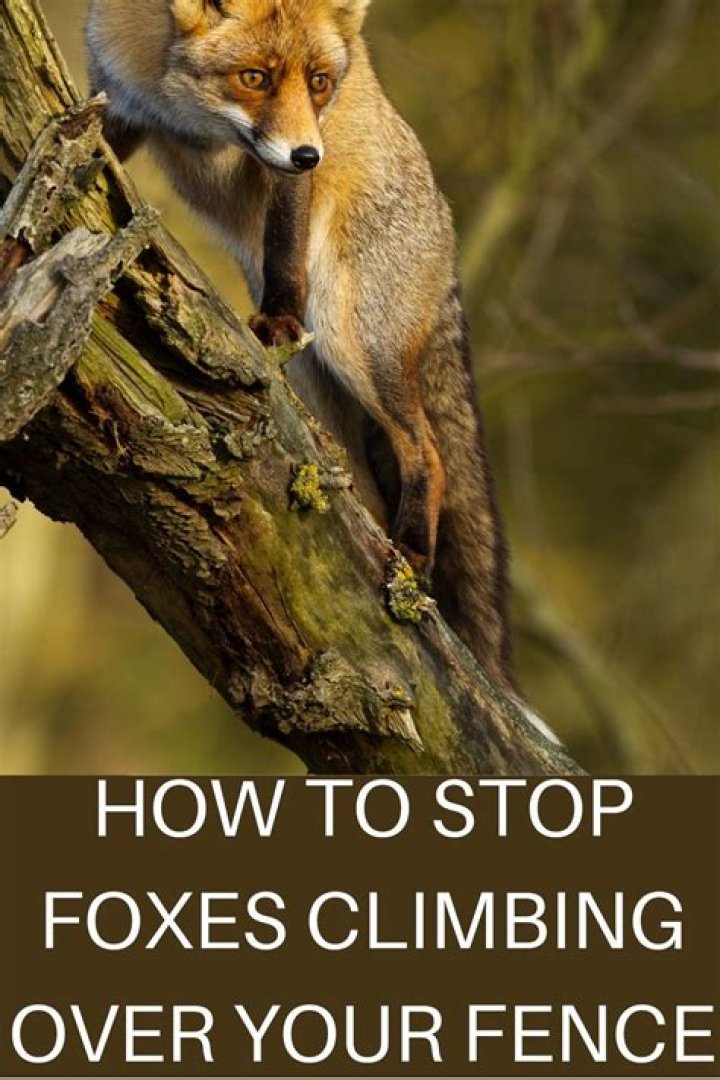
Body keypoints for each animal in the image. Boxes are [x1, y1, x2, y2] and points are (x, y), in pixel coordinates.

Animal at [86, 0, 513, 685]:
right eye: (254, 78)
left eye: (319, 83)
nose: (312, 153)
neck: (183, 110)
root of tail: (447, 245)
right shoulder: (119, 104)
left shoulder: (285, 174)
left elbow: (283, 243)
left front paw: (279, 316)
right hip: (321, 392)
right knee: (356, 496)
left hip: (353, 341)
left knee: (427, 452)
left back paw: (412, 553)